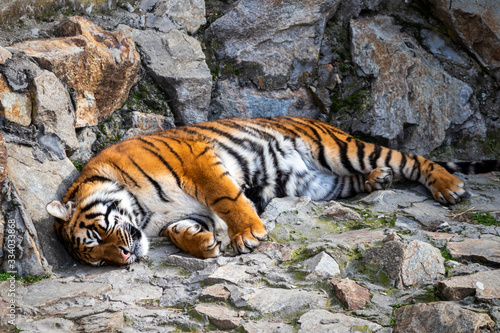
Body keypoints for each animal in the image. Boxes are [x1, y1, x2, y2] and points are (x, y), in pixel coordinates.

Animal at [45, 115, 498, 266]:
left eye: (98, 233)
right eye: (97, 258)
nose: (123, 257)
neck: (146, 213)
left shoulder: (198, 160)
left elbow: (227, 197)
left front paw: (248, 235)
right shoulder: (181, 215)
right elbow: (183, 230)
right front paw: (204, 245)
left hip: (342, 149)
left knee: (414, 159)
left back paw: (449, 187)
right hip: (315, 181)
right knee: (356, 181)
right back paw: (379, 181)